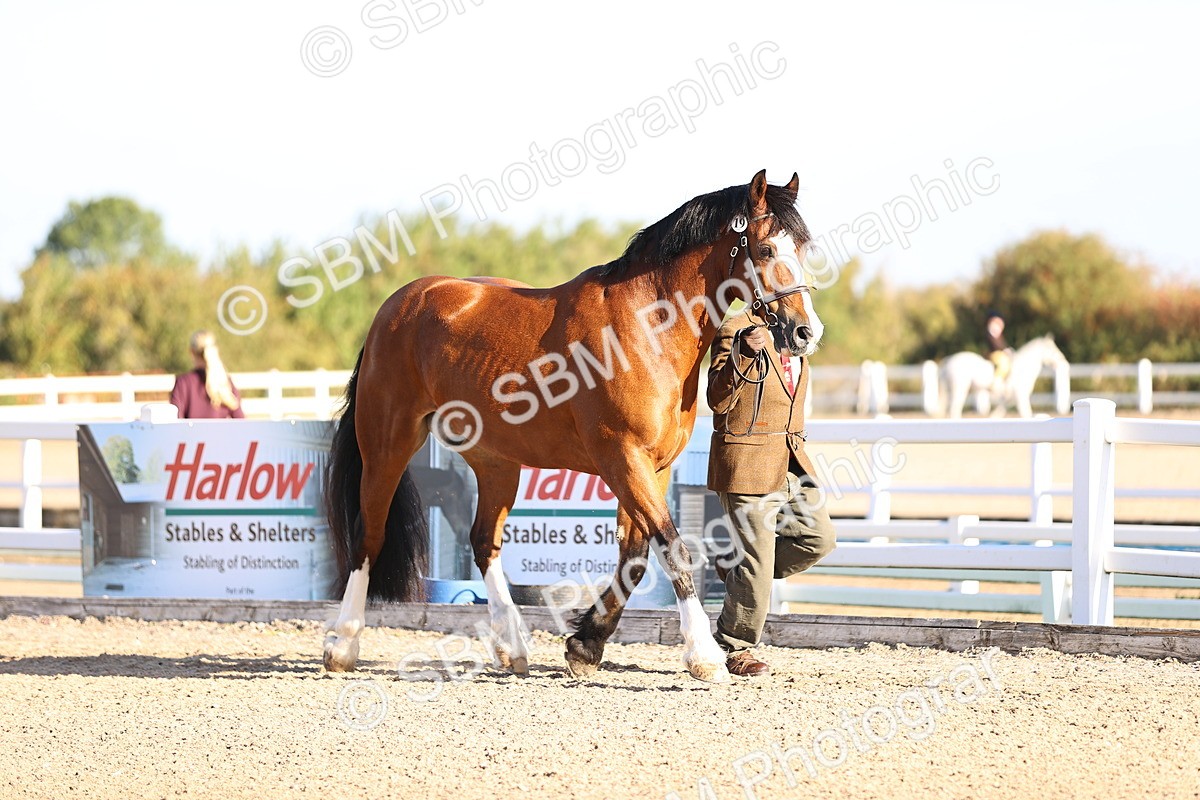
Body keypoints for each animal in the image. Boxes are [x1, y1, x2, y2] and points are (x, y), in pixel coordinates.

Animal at [322, 170, 823, 683]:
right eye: (766, 249)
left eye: (803, 249)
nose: (806, 332)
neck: (646, 327)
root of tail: (397, 307)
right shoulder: (623, 459)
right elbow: (673, 550)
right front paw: (703, 656)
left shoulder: (653, 468)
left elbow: (635, 558)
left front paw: (586, 644)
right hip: (388, 444)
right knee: (369, 537)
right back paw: (343, 645)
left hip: (495, 461)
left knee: (484, 543)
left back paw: (512, 647)